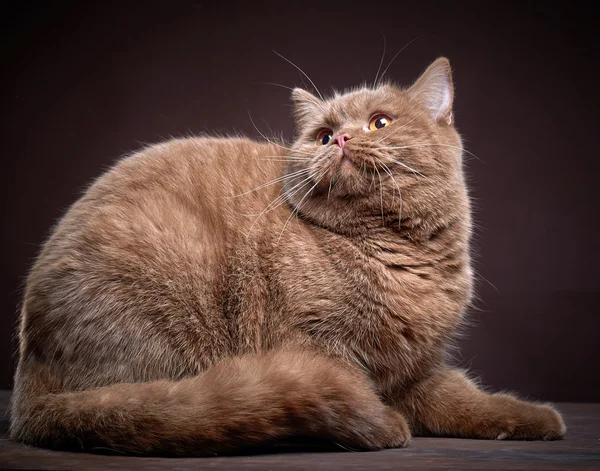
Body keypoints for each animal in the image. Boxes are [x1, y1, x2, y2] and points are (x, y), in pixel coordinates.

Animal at [8, 57, 564, 456]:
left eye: (379, 122)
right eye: (322, 135)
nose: (341, 138)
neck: (399, 255)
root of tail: (27, 390)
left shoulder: (417, 367)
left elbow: (464, 398)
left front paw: (533, 419)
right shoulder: (314, 342)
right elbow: (347, 384)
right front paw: (387, 426)